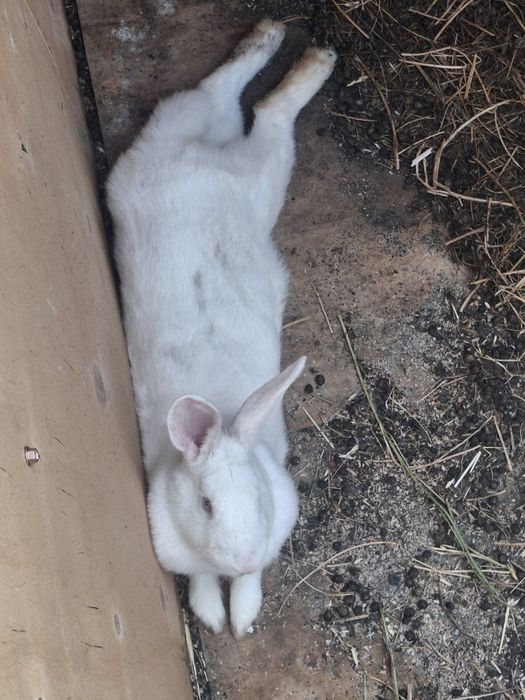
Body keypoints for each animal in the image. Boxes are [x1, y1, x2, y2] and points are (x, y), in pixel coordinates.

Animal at [107, 19, 336, 638]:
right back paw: (289, 48)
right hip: (229, 155)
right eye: (206, 505)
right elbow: (200, 578)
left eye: (258, 494)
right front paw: (215, 617)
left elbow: (250, 584)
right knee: (244, 105)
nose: (243, 555)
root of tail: (198, 162)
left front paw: (244, 612)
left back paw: (296, 50)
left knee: (244, 103)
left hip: (246, 163)